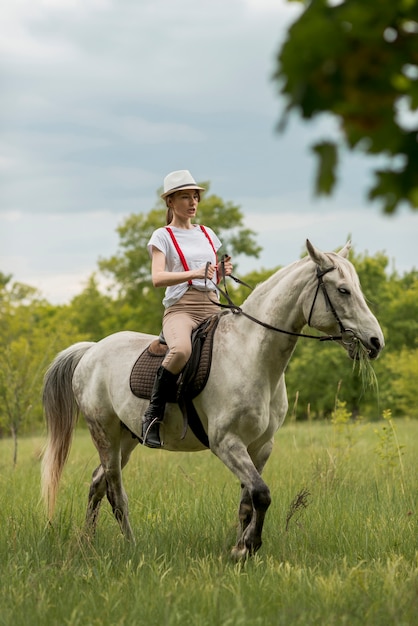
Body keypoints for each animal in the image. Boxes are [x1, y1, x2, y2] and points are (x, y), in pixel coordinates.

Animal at [40, 239, 384, 556]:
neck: (251, 353)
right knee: (114, 490)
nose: (375, 342)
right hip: (105, 434)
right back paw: (130, 545)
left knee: (98, 482)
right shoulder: (226, 442)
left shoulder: (260, 446)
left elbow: (248, 500)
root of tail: (92, 350)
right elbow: (262, 493)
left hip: (127, 438)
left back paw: (88, 542)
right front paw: (248, 547)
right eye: (343, 290)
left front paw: (240, 547)